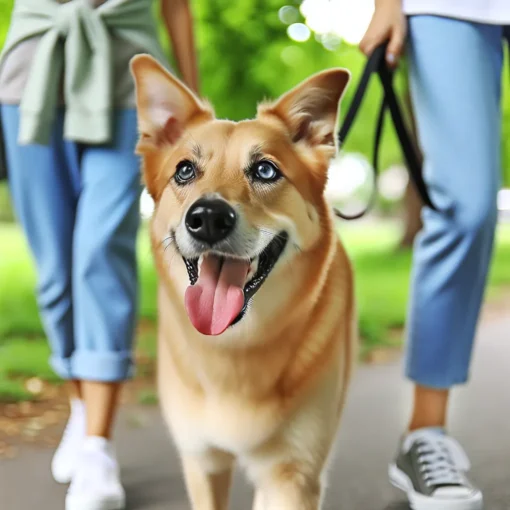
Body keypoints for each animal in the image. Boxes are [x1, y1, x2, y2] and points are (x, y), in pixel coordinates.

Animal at [130, 55, 354, 510]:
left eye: (265, 170)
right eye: (184, 170)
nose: (208, 217)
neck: (235, 349)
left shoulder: (294, 476)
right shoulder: (203, 462)